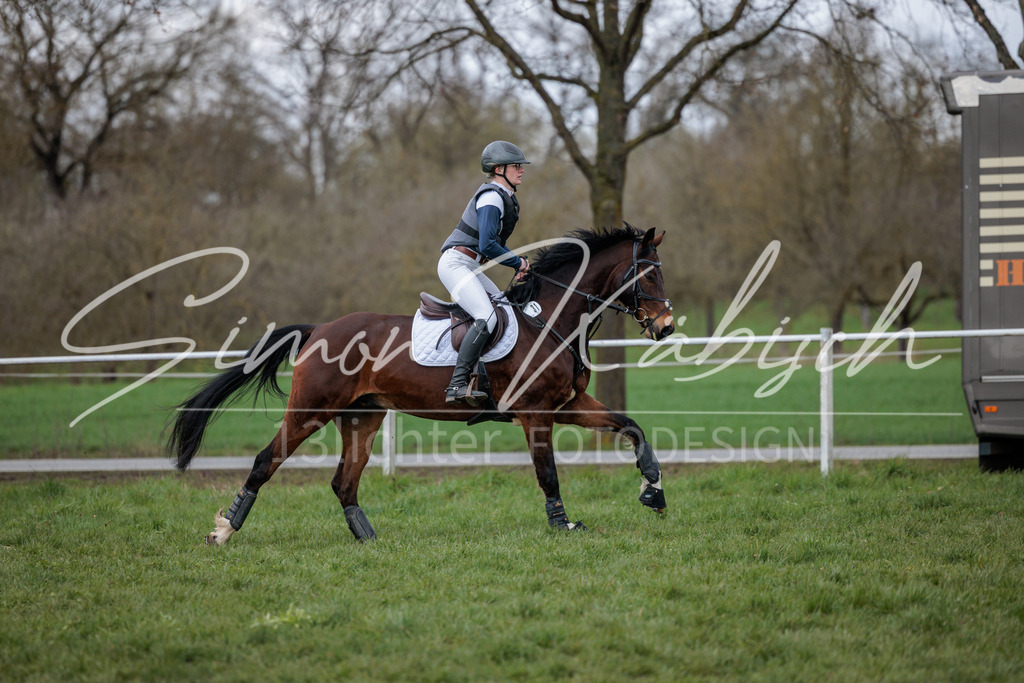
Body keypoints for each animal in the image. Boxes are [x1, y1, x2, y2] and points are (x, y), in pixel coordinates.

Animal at [168, 225, 675, 544]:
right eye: (649, 273)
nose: (666, 327)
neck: (549, 319)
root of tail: (318, 330)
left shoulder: (567, 404)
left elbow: (630, 426)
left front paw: (653, 490)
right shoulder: (535, 412)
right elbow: (547, 472)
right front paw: (563, 525)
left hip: (363, 417)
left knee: (344, 482)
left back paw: (369, 539)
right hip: (311, 409)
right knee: (265, 461)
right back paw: (224, 530)